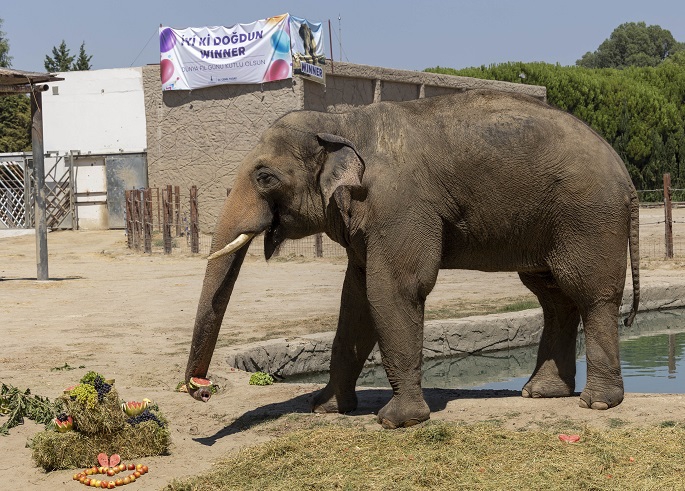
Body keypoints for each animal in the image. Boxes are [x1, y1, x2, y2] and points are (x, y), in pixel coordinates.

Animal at [184, 89, 640, 430]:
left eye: (264, 177)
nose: (199, 390)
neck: (342, 122)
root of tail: (627, 176)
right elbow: (356, 299)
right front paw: (326, 409)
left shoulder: (397, 204)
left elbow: (394, 287)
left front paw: (395, 422)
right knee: (553, 294)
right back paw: (541, 392)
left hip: (587, 216)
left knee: (589, 293)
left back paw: (597, 404)